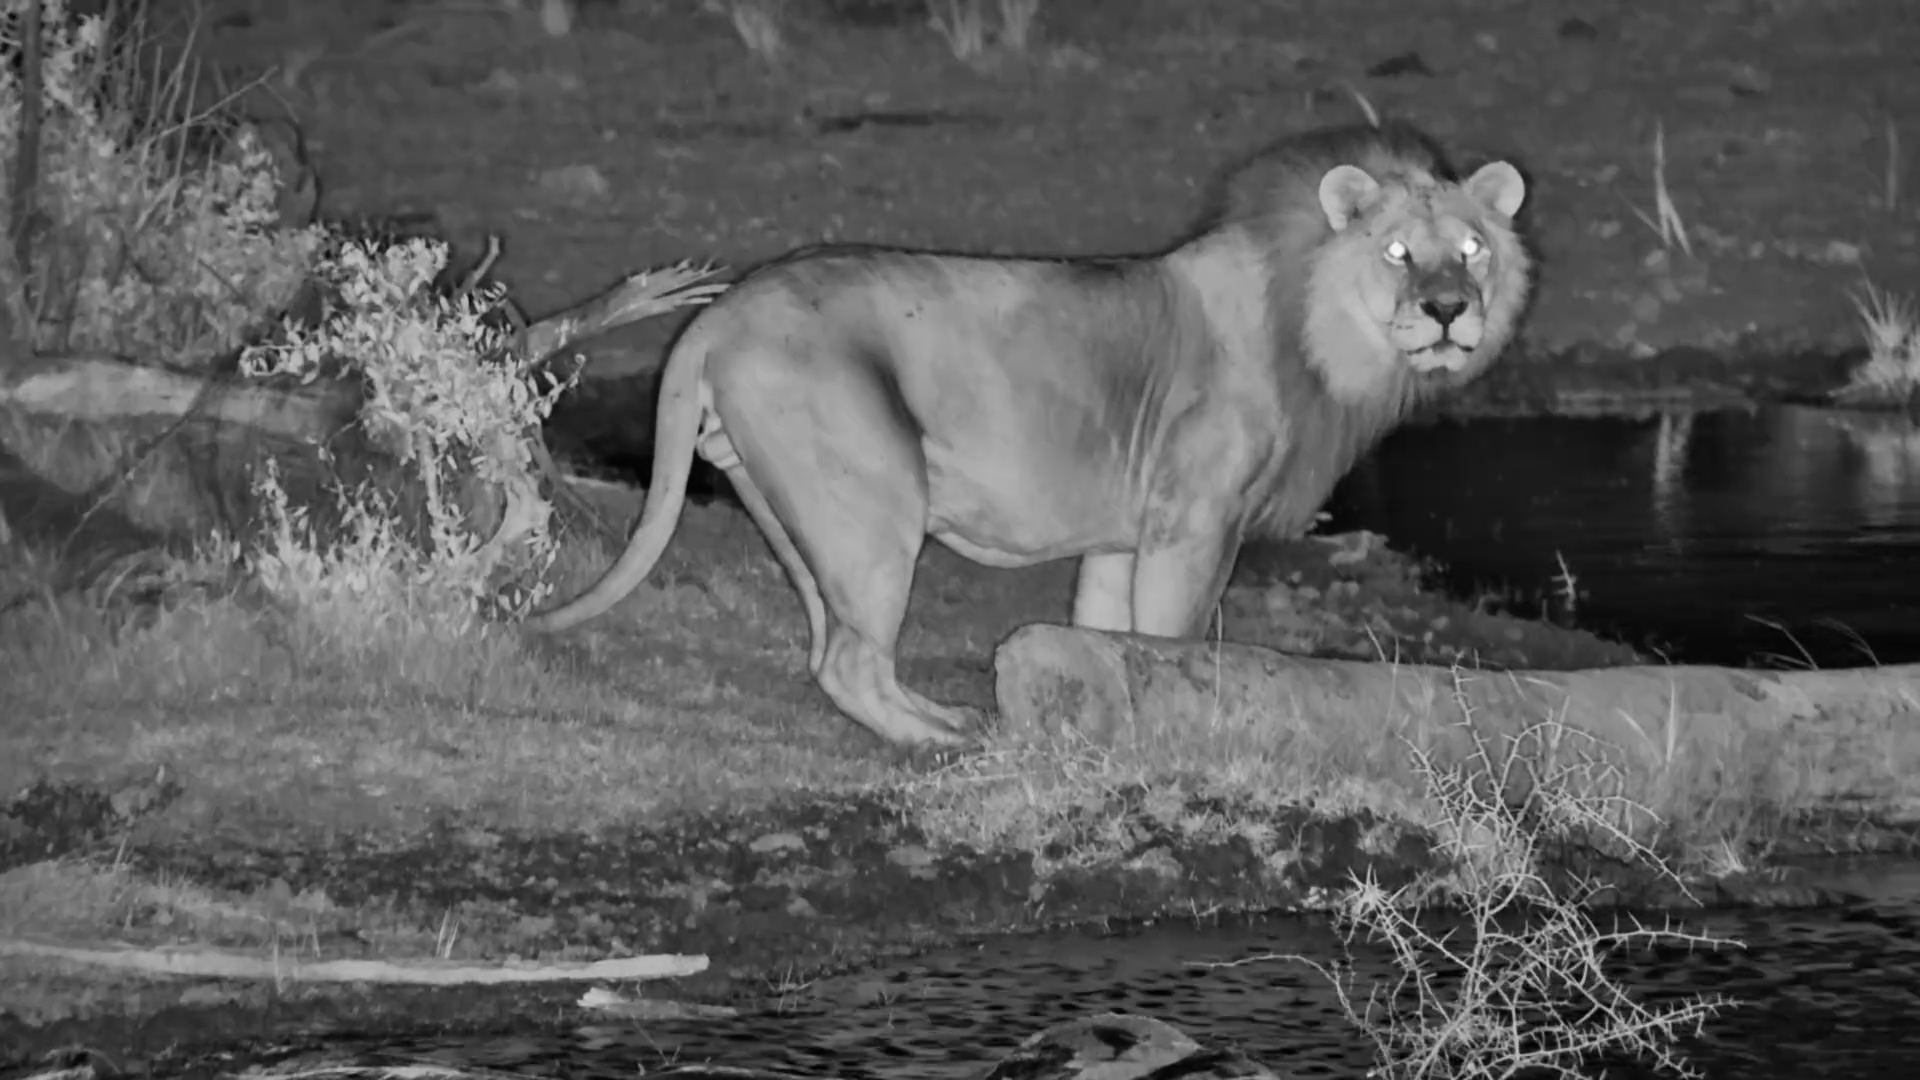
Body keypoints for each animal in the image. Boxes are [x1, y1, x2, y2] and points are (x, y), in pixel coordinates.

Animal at [526, 120, 1534, 748]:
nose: (1450, 310)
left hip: (783, 499)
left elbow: (1108, 629)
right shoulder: (1196, 523)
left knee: (830, 644)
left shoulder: (1128, 533)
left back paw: (947, 719)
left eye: (1472, 250)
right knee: (849, 660)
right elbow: (1174, 634)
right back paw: (943, 736)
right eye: (1398, 253)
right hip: (874, 497)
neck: (1320, 331)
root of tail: (718, 313)